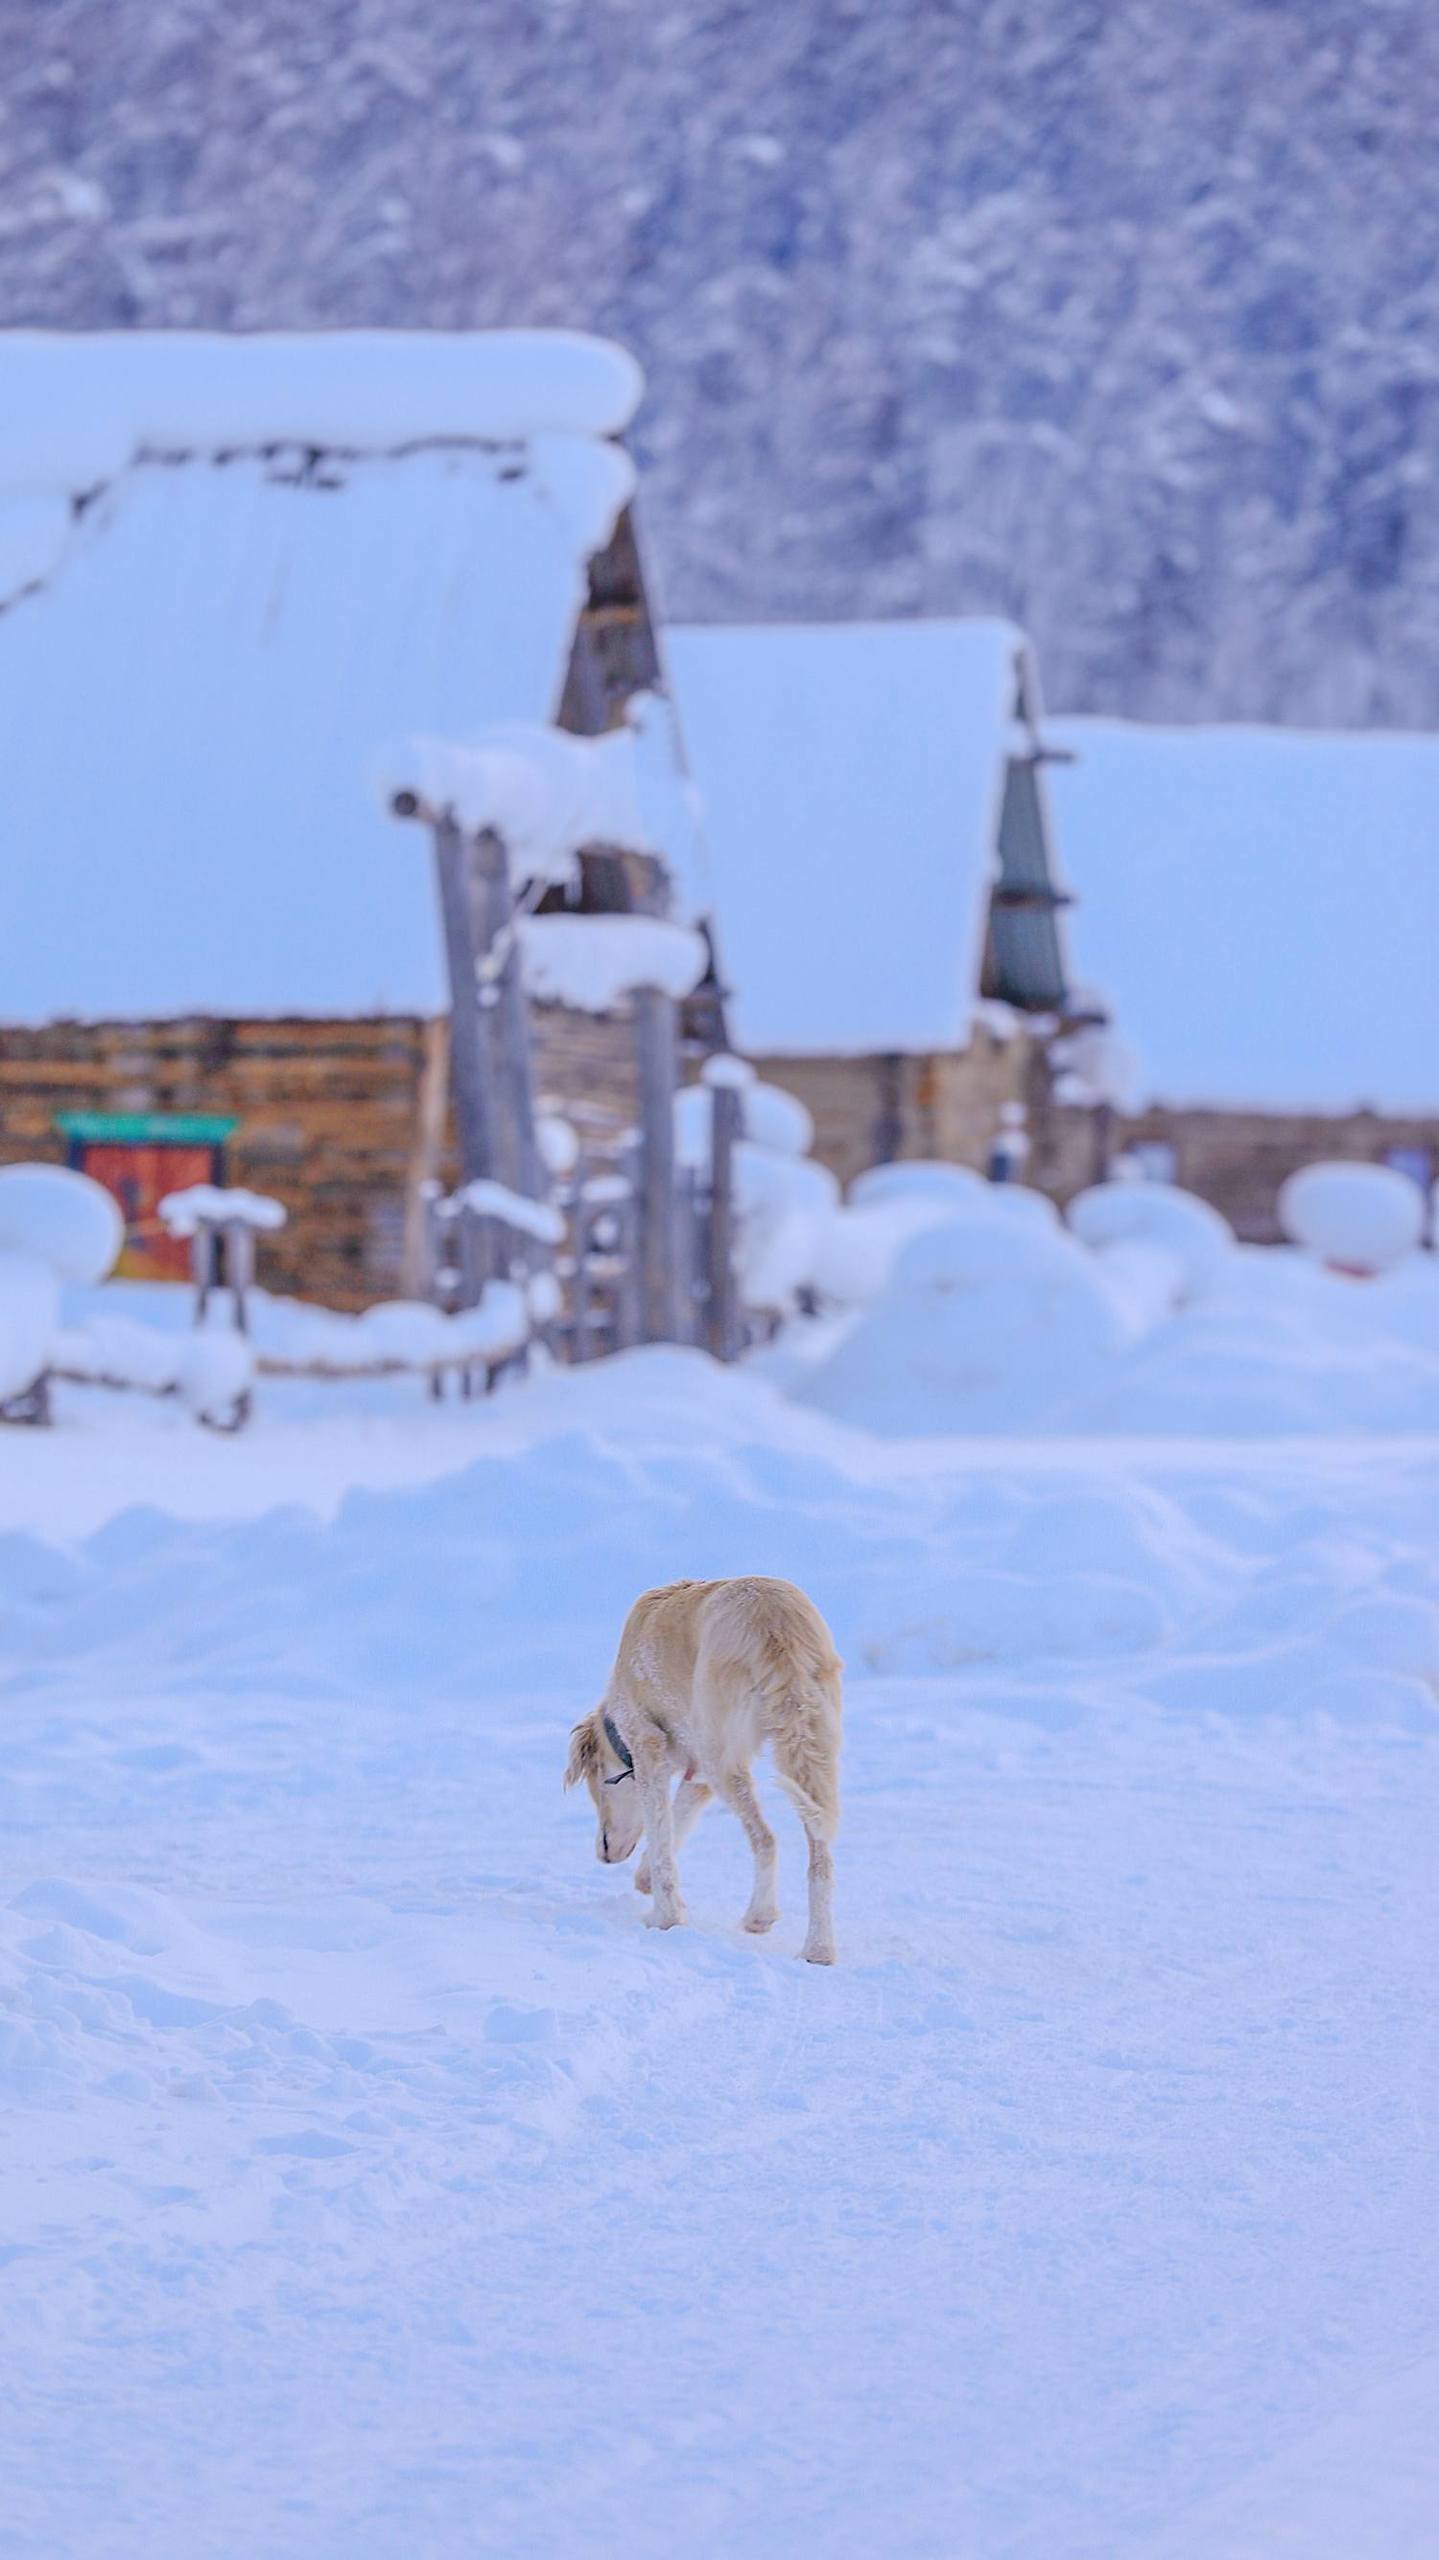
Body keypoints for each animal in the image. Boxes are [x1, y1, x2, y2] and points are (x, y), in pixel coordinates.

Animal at [563, 1566, 839, 1966]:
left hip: (721, 1754)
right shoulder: (698, 1773)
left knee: (765, 1838)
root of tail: (776, 1622)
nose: (605, 1854)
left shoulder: (650, 1749)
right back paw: (818, 1949)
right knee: (820, 1857)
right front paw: (646, 1881)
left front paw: (665, 1917)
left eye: (599, 1786)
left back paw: (759, 1916)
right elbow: (676, 1821)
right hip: (812, 1747)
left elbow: (663, 1842)